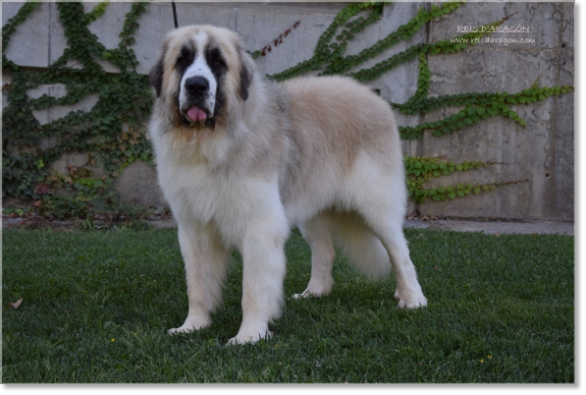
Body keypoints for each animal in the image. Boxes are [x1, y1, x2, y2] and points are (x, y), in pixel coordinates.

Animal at [148, 25, 426, 346]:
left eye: (218, 62)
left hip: (375, 206)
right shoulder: (195, 228)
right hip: (313, 208)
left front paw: (249, 336)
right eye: (182, 61)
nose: (196, 86)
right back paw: (315, 292)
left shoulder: (260, 225)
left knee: (400, 252)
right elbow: (197, 284)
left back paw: (413, 298)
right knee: (325, 252)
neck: (209, 143)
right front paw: (193, 326)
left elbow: (253, 288)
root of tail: (373, 96)